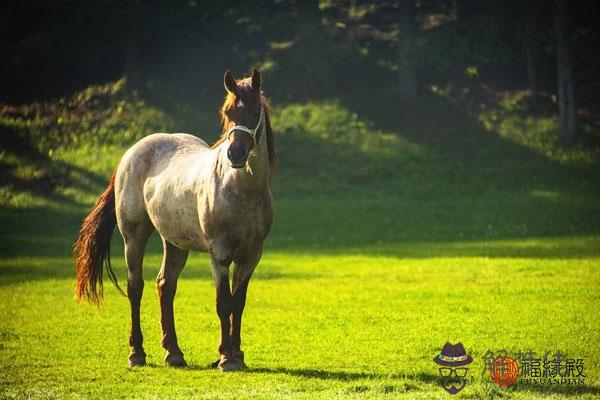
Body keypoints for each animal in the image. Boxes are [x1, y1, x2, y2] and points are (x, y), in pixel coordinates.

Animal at [73, 69, 276, 372]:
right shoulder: (220, 255)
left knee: (165, 285)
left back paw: (174, 353)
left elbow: (238, 303)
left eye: (254, 112)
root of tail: (130, 153)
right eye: (227, 113)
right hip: (133, 237)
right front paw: (226, 358)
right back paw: (137, 354)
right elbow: (223, 303)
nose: (235, 155)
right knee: (136, 287)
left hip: (176, 243)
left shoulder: (251, 255)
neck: (241, 190)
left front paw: (237, 355)